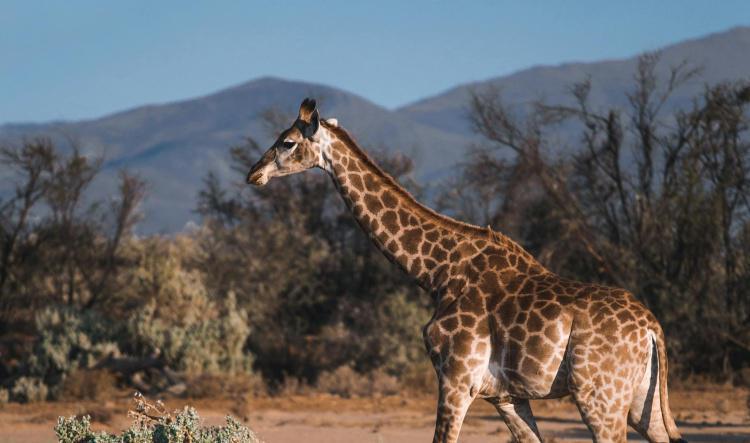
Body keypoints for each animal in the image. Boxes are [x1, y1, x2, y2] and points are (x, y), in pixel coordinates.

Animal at [246, 98, 686, 443]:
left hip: (599, 397)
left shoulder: (456, 379)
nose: (254, 173)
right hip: (639, 402)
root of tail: (652, 329)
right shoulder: (505, 395)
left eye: (287, 142)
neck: (436, 272)